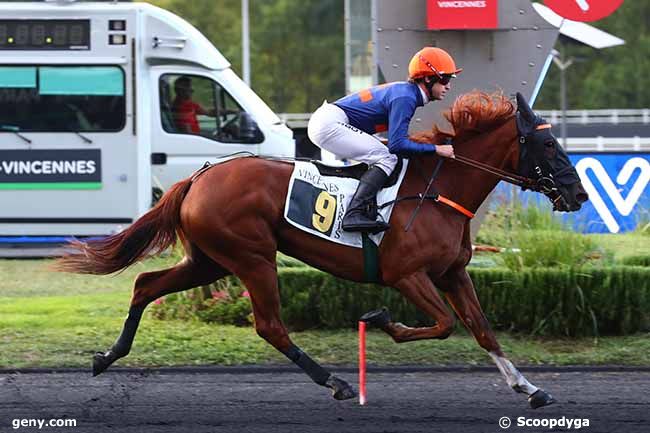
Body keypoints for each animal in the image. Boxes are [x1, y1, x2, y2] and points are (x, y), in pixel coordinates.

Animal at [55, 91, 588, 408]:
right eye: (548, 147)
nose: (578, 194)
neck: (439, 190)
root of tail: (200, 176)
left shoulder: (452, 273)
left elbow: (481, 329)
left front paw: (529, 387)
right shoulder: (406, 274)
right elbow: (443, 324)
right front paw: (382, 321)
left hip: (209, 260)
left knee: (146, 285)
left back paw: (107, 356)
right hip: (251, 257)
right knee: (269, 325)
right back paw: (336, 381)